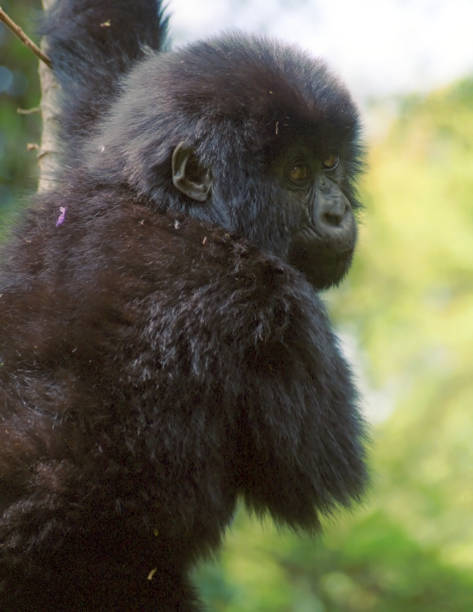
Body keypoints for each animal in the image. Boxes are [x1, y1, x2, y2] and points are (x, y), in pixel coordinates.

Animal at [0, 0, 366, 608]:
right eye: (297, 172)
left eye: (331, 163)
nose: (339, 212)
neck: (177, 212)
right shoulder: (269, 297)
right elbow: (320, 479)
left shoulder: (105, 164)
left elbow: (109, 79)